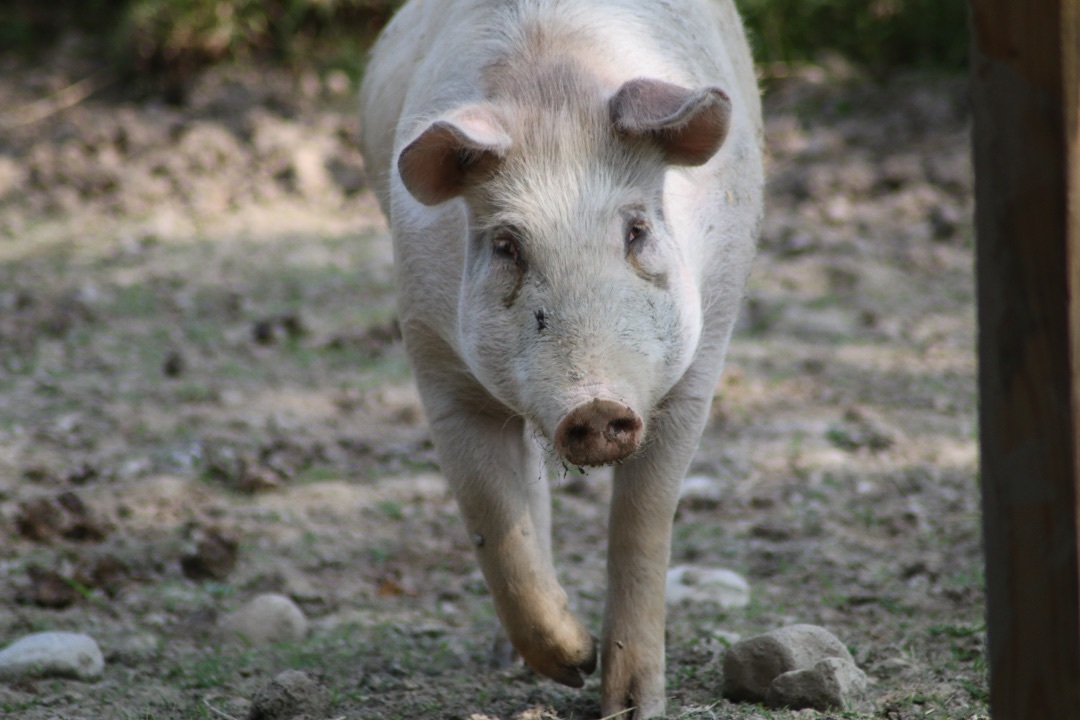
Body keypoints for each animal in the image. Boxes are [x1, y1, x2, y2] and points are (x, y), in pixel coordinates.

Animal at [359, 0, 763, 716]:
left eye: (637, 230)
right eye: (507, 246)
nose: (595, 405)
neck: (554, 93)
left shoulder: (700, 363)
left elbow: (642, 522)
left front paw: (630, 704)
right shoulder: (436, 362)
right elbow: (493, 519)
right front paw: (574, 662)